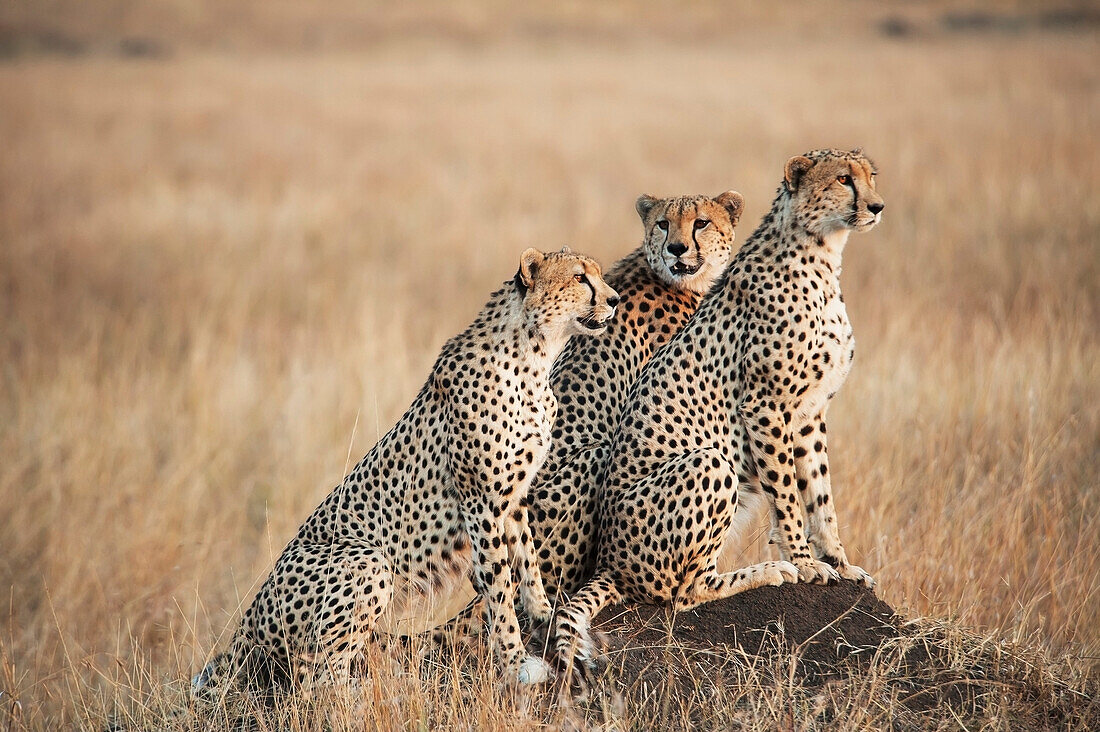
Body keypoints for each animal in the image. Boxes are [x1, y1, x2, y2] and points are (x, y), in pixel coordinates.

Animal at [190, 245, 620, 695]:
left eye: (597, 274)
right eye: (579, 278)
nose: (614, 300)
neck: (534, 356)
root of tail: (248, 619)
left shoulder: (512, 497)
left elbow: (528, 561)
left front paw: (543, 615)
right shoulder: (481, 501)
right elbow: (499, 585)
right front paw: (517, 660)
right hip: (368, 560)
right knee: (315, 681)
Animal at [554, 149, 880, 669]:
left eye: (871, 177)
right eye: (844, 179)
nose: (876, 206)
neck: (824, 253)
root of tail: (609, 560)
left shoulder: (810, 413)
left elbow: (820, 495)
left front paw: (841, 563)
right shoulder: (766, 405)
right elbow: (787, 494)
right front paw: (806, 563)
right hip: (709, 465)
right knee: (682, 592)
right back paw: (769, 571)